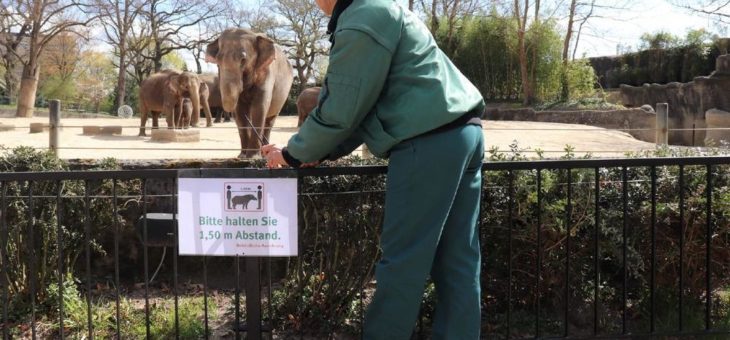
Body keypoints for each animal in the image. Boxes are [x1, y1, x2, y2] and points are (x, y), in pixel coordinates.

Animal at [203, 28, 292, 157]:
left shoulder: (267, 71)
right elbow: (240, 110)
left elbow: (259, 107)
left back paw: (264, 153)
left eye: (243, 60)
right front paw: (242, 156)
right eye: (217, 62)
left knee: (270, 121)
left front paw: (253, 157)